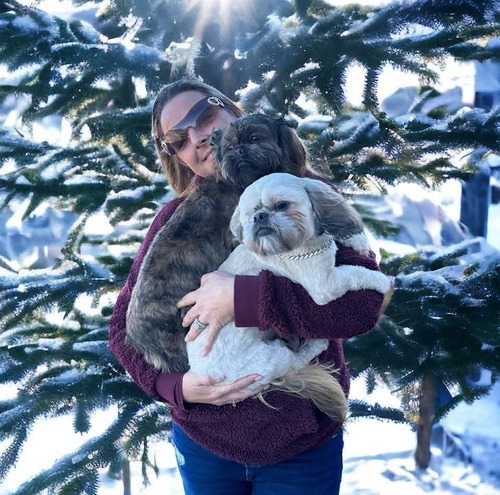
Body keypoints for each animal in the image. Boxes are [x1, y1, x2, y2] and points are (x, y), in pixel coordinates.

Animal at [186, 173, 391, 421]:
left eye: (281, 205)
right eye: (251, 213)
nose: (260, 216)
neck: (304, 244)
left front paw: (358, 242)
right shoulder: (326, 285)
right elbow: (357, 273)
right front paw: (383, 281)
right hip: (272, 359)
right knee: (294, 361)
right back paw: (315, 345)